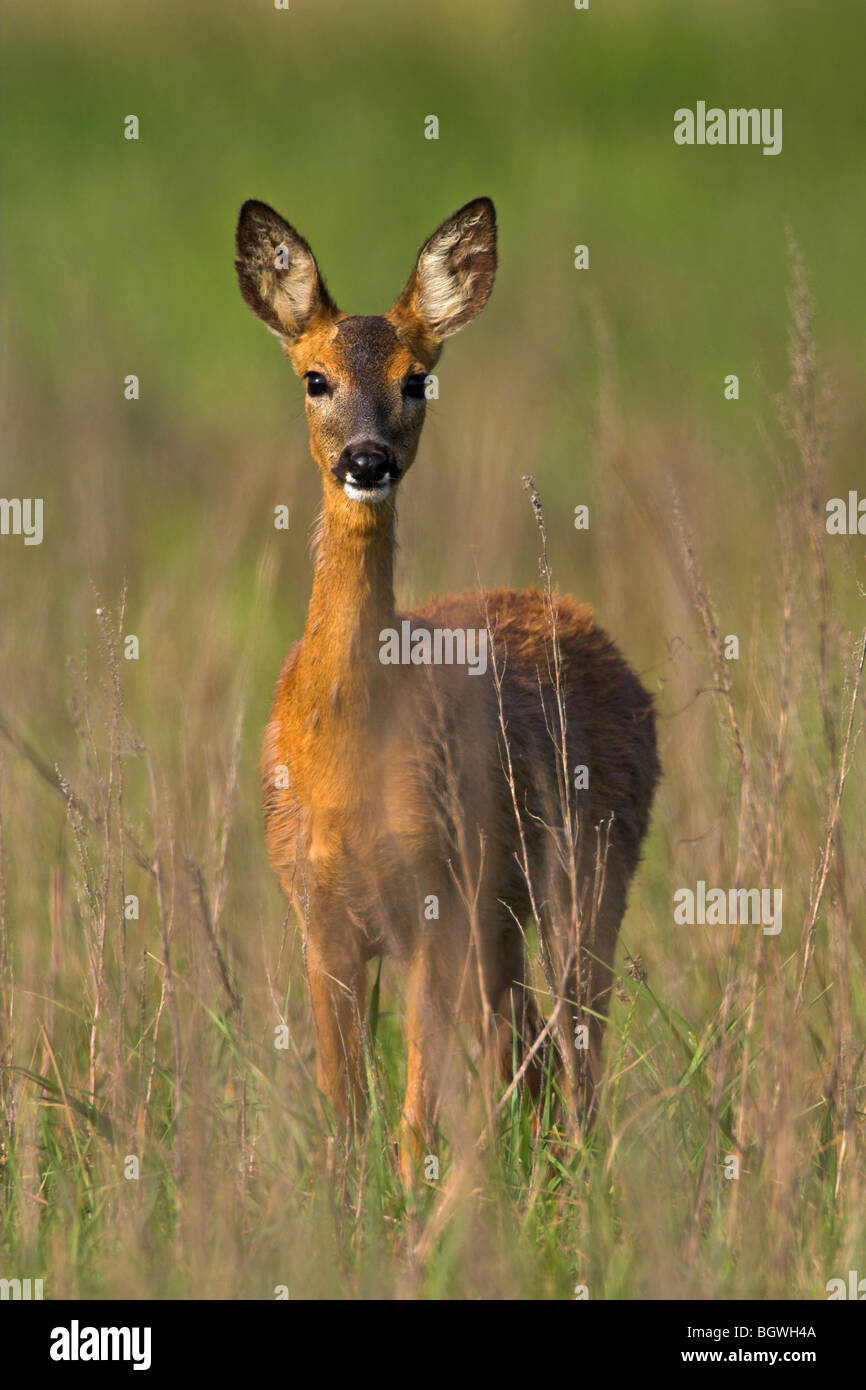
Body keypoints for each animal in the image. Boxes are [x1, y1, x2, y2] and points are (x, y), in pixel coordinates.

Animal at [234, 195, 660, 1183]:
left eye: (417, 378)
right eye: (314, 378)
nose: (366, 459)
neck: (344, 756)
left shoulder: (438, 895)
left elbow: (415, 1117)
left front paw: (412, 1207)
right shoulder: (317, 911)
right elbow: (343, 1111)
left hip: (592, 866)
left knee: (573, 1044)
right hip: (509, 912)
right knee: (529, 1046)